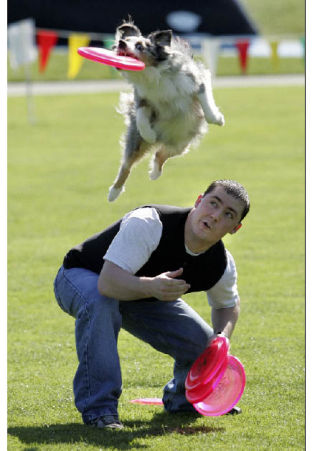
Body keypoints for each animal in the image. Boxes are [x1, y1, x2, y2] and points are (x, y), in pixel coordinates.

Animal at [106, 17, 224, 201]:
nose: (121, 42)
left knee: (160, 154)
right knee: (127, 164)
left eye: (139, 45)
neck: (151, 74)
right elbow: (141, 117)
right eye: (125, 41)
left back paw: (154, 172)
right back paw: (114, 192)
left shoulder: (196, 81)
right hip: (136, 143)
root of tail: (165, 139)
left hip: (181, 144)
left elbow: (207, 104)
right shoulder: (141, 98)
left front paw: (217, 118)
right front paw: (149, 133)